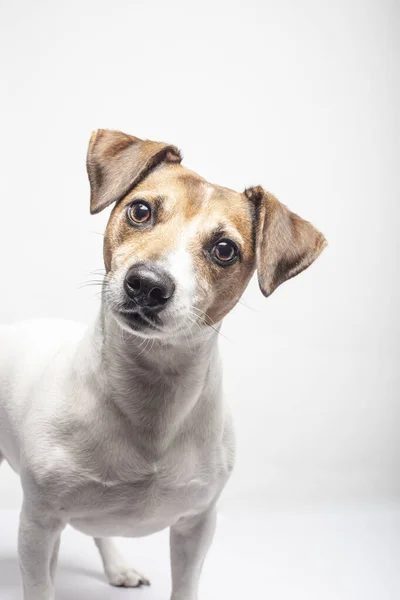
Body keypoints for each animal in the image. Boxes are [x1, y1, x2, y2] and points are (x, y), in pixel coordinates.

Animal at [0, 131, 324, 600]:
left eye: (224, 249)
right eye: (141, 211)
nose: (147, 285)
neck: (151, 391)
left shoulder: (196, 526)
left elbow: (184, 583)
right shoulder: (39, 523)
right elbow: (39, 583)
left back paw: (118, 568)